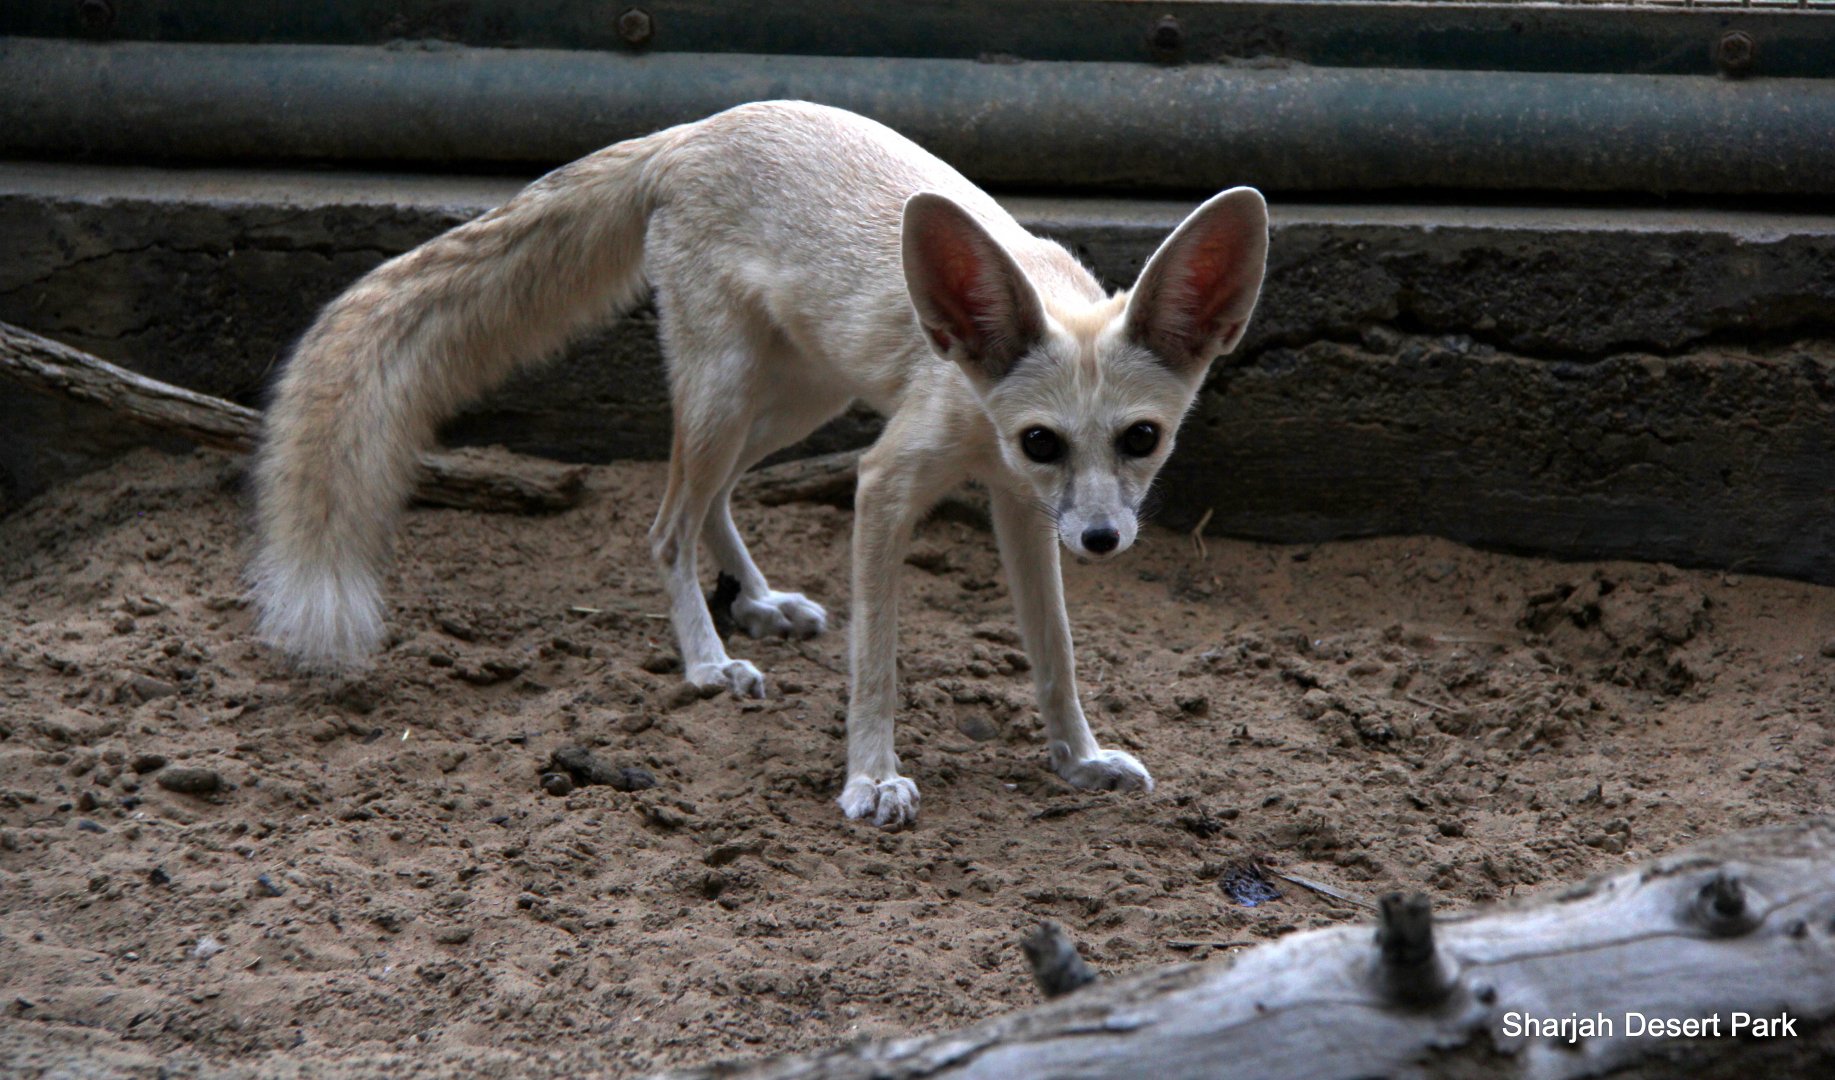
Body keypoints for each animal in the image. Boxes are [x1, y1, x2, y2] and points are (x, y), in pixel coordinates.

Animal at [252, 100, 1268, 828]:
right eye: (1042, 441)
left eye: (1142, 439)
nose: (1100, 540)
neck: (978, 411)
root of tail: (694, 128)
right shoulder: (887, 482)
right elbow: (876, 661)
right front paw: (871, 779)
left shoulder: (1020, 511)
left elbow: (1054, 654)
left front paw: (1078, 761)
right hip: (728, 394)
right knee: (664, 524)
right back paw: (707, 663)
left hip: (792, 401)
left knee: (711, 500)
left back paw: (756, 603)